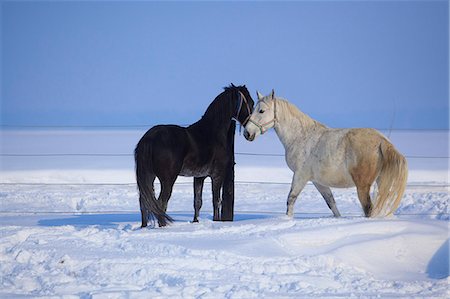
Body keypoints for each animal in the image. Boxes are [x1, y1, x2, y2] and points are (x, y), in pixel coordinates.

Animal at [134, 84, 253, 227]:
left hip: (149, 176)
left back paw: (144, 227)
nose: (250, 132)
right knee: (161, 203)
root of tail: (149, 138)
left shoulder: (199, 177)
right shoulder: (217, 176)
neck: (212, 133)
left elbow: (197, 202)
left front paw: (195, 221)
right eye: (251, 103)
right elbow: (216, 201)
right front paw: (216, 221)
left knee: (144, 203)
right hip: (167, 180)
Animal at [244, 90, 406, 219]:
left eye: (261, 111)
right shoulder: (318, 182)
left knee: (369, 209)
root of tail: (382, 141)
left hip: (363, 187)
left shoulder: (300, 176)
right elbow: (331, 203)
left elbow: (291, 199)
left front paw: (287, 220)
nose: (247, 133)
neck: (301, 136)